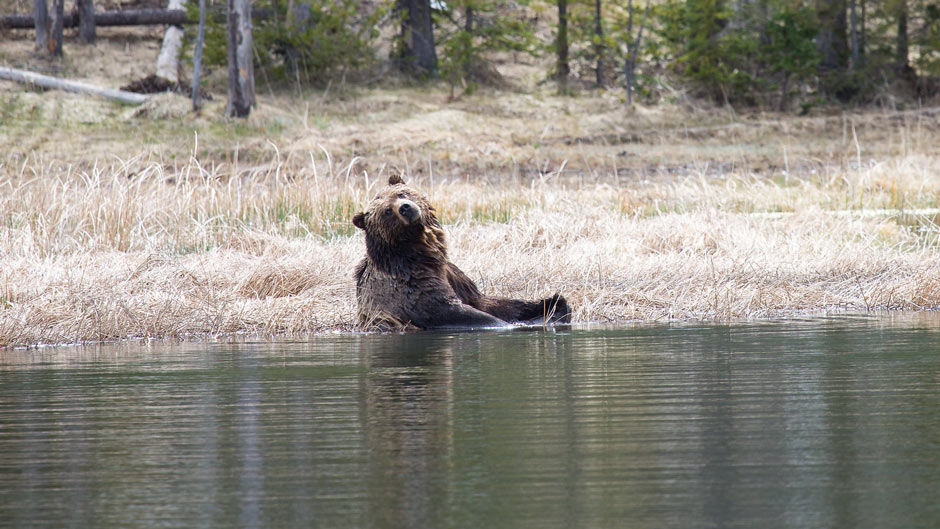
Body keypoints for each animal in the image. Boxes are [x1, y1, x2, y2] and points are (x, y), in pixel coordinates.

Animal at [352, 175, 571, 330]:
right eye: (387, 211)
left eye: (401, 194)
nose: (405, 208)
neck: (422, 256)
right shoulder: (413, 289)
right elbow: (459, 312)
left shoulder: (452, 275)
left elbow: (486, 301)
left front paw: (552, 303)